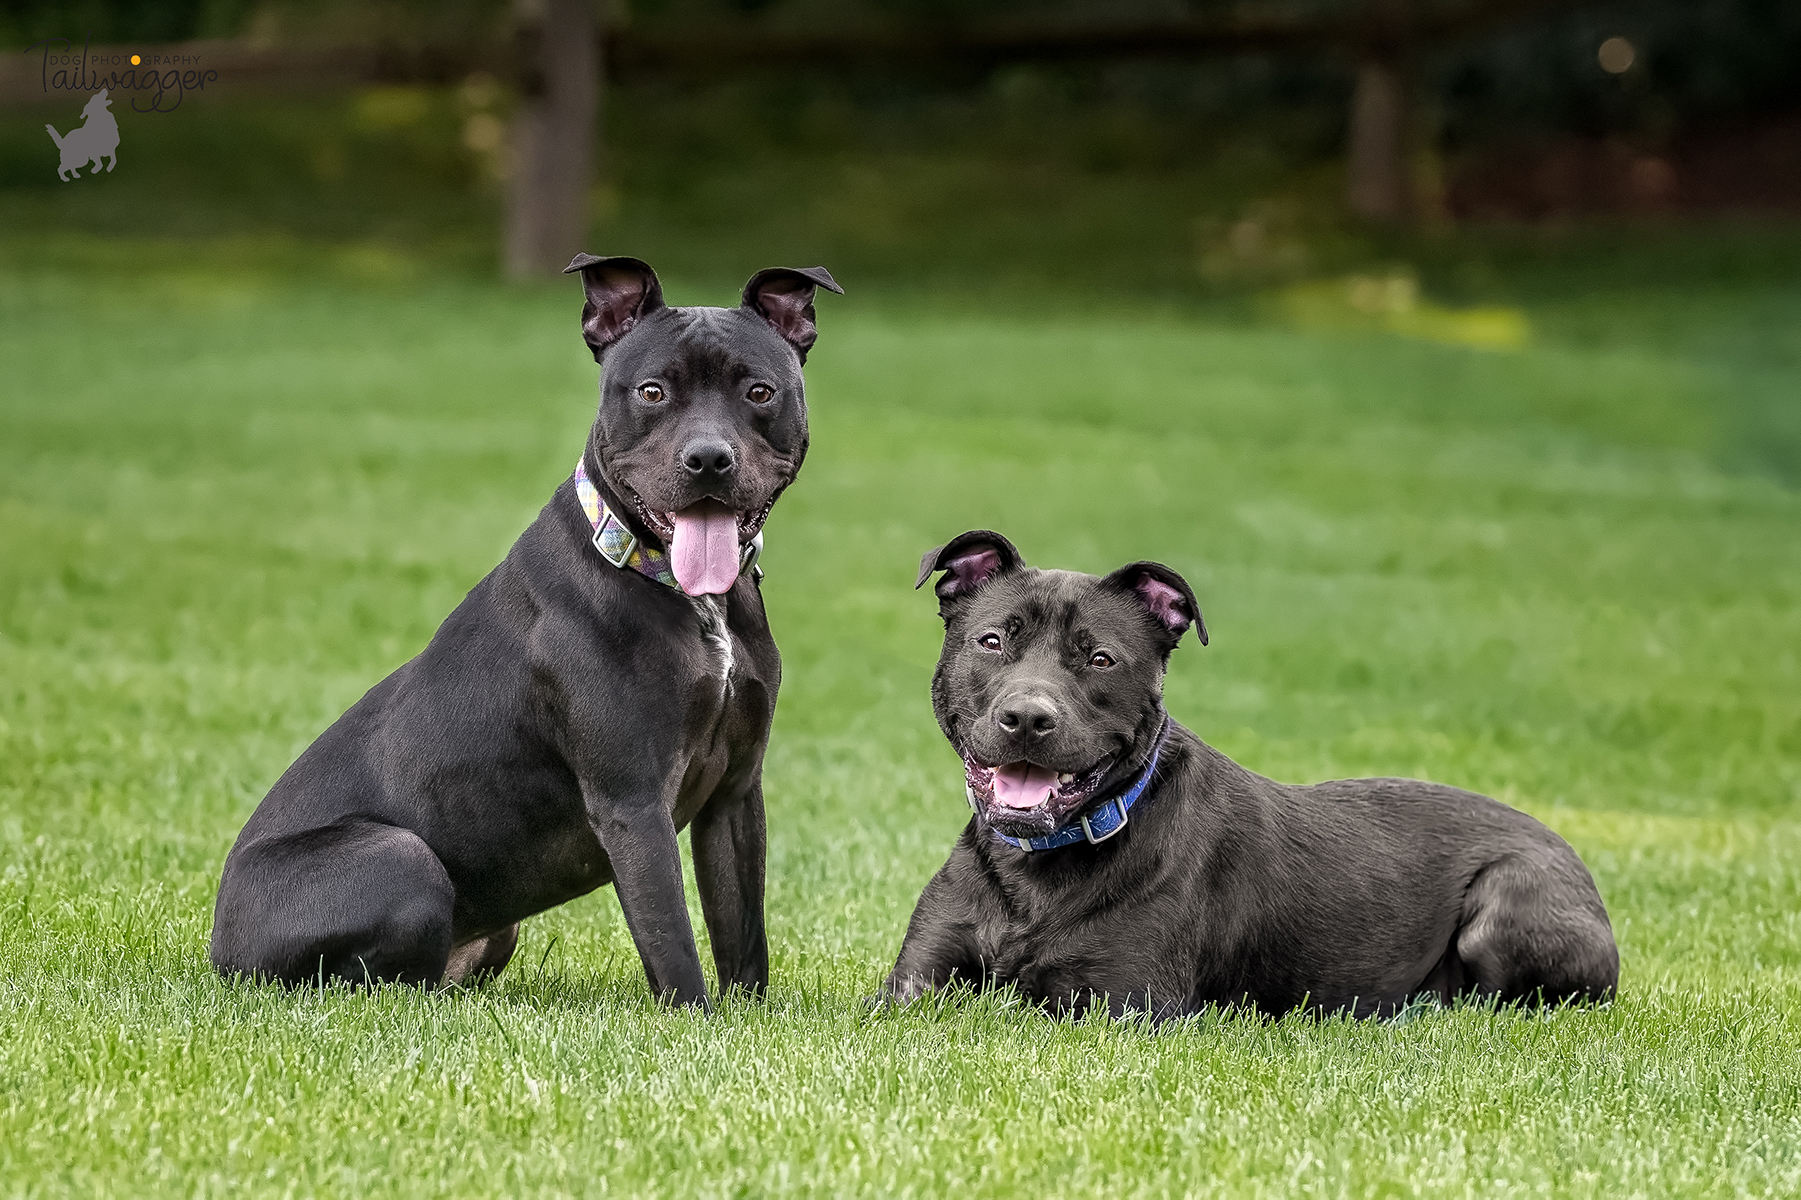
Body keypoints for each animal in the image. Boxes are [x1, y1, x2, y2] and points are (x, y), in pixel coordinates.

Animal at [207, 254, 839, 1001]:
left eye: (760, 391)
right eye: (652, 391)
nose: (708, 459)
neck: (676, 585)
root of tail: (219, 952)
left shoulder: (735, 793)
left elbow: (742, 936)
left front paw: (746, 1018)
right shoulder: (632, 803)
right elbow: (674, 942)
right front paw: (695, 1019)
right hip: (402, 853)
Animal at [886, 529, 1620, 1016]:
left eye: (1100, 660)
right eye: (991, 640)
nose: (1028, 718)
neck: (1039, 866)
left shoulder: (1121, 1005)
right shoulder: (910, 986)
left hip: (1508, 899)